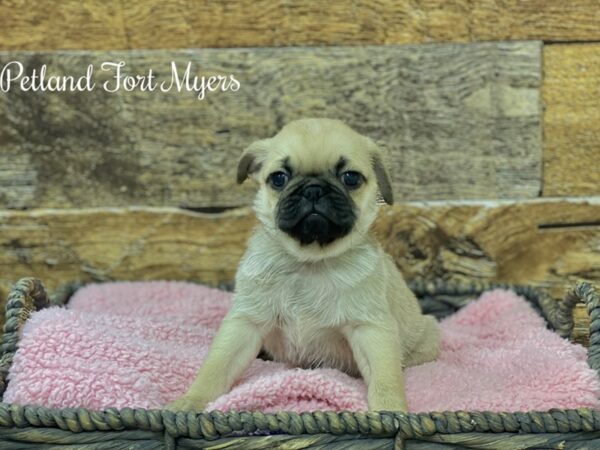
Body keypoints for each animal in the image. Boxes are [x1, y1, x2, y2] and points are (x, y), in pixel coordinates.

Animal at [169, 117, 440, 412]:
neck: (309, 262)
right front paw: (192, 401)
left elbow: (385, 379)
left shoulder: (371, 330)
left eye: (351, 178)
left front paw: (390, 411)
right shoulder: (245, 323)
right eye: (279, 178)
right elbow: (216, 367)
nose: (313, 189)